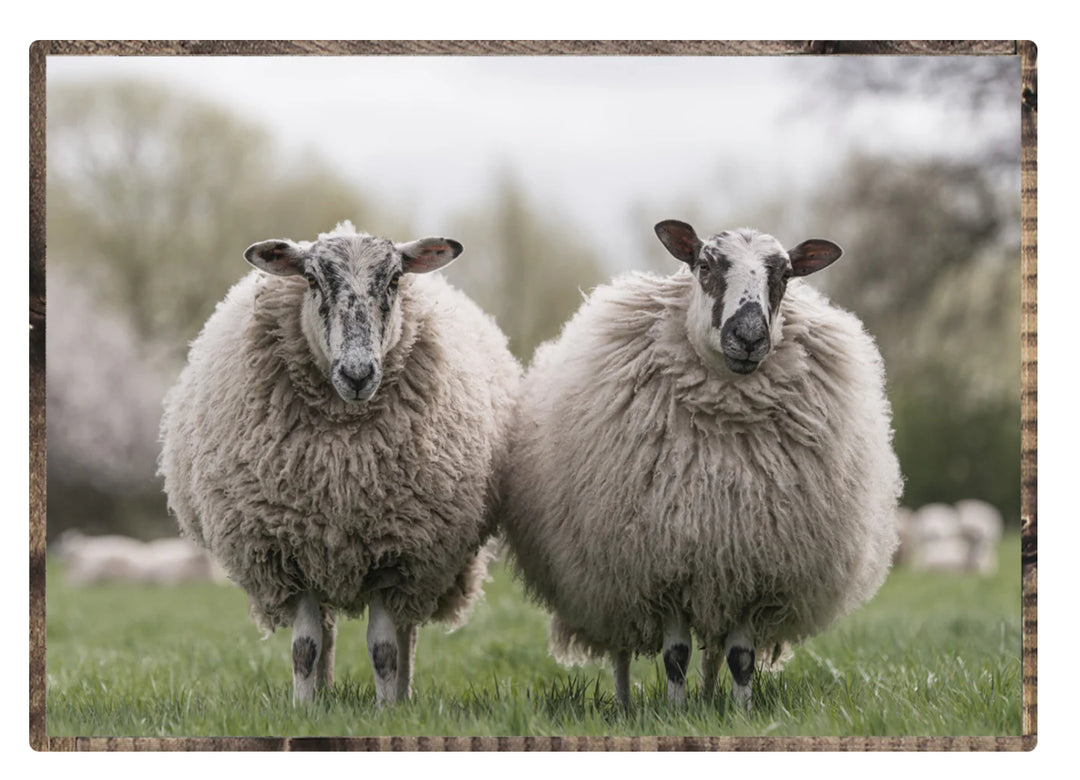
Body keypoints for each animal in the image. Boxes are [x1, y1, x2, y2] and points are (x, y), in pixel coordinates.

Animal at [159, 221, 519, 706]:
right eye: (311, 279)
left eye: (395, 279)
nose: (357, 374)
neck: (341, 467)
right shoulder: (289, 550)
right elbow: (305, 648)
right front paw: (304, 708)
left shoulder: (397, 552)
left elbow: (385, 649)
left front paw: (387, 710)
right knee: (325, 635)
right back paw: (325, 694)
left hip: (420, 568)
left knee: (406, 634)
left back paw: (402, 696)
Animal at [498, 221, 902, 711]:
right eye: (705, 265)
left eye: (785, 276)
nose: (749, 338)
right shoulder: (663, 567)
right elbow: (675, 654)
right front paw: (674, 713)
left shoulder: (754, 568)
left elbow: (741, 657)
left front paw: (742, 713)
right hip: (610, 580)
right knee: (620, 650)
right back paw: (625, 706)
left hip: (717, 577)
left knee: (715, 653)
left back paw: (711, 699)